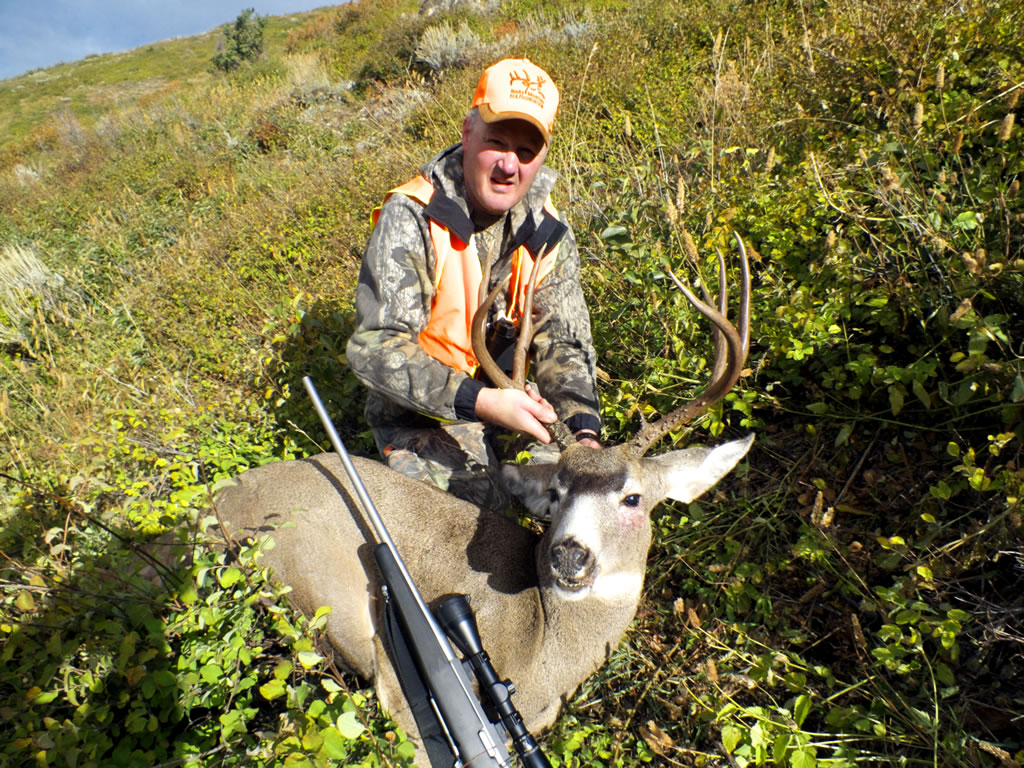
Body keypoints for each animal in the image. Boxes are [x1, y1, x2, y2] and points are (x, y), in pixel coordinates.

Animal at [214, 234, 754, 766]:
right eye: (555, 493)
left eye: (633, 498)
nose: (568, 555)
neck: (542, 644)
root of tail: (217, 503)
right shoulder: (404, 700)